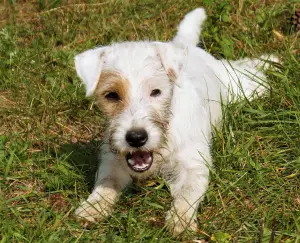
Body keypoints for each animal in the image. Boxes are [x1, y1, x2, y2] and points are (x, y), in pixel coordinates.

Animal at [74, 7, 276, 235]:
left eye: (156, 92)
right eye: (111, 95)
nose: (136, 138)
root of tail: (186, 46)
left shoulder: (194, 165)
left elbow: (187, 194)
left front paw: (181, 220)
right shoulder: (113, 159)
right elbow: (106, 182)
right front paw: (93, 207)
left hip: (239, 86)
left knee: (244, 71)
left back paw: (269, 61)